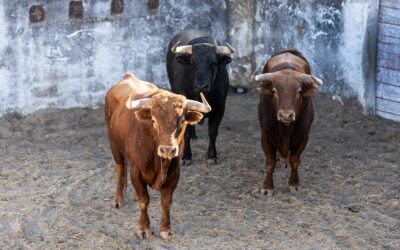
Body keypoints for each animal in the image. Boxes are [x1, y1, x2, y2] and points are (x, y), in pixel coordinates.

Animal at [104, 72, 211, 238]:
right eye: (154, 121)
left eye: (182, 121)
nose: (168, 150)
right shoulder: (136, 171)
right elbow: (144, 200)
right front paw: (143, 228)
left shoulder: (175, 173)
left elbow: (166, 201)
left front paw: (166, 229)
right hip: (114, 145)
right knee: (120, 167)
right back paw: (118, 199)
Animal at [166, 29, 234, 164]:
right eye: (192, 63)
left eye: (214, 63)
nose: (201, 86)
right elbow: (186, 133)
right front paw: (186, 157)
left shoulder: (220, 108)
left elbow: (212, 132)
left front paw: (212, 156)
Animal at [252, 49, 324, 195]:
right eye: (274, 91)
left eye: (299, 91)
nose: (286, 115)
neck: (285, 130)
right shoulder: (265, 134)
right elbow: (270, 162)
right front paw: (267, 187)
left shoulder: (304, 135)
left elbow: (295, 160)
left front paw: (294, 184)